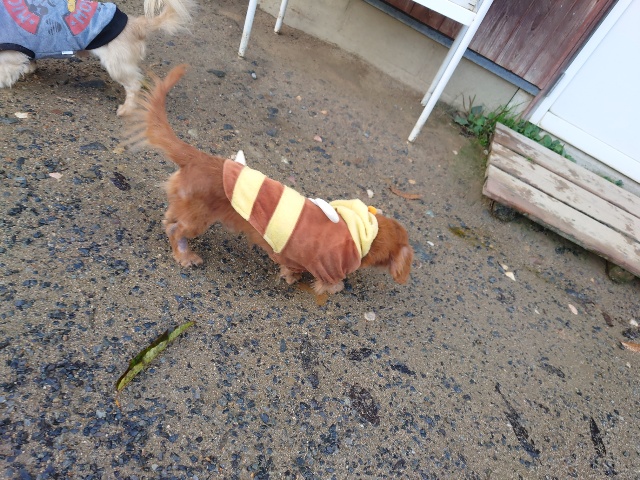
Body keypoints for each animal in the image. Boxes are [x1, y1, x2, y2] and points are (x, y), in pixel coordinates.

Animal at [0, 0, 195, 116]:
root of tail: (136, 24)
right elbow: (30, 61)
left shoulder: (10, 57)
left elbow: (4, 73)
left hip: (116, 66)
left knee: (134, 84)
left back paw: (127, 109)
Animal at [127, 65, 414, 294]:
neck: (362, 231)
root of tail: (198, 157)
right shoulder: (323, 265)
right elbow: (315, 278)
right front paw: (316, 284)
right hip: (198, 219)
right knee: (176, 231)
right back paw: (185, 255)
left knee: (169, 220)